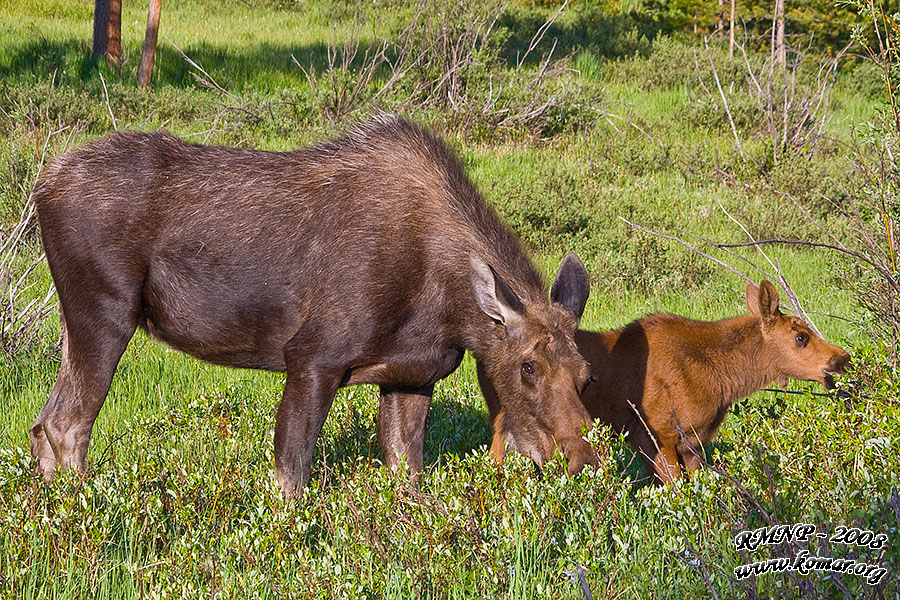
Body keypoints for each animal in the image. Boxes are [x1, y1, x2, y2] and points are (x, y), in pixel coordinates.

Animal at [31, 115, 600, 500]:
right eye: (527, 366)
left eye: (586, 376)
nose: (582, 462)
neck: (451, 313)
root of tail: (42, 185)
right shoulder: (312, 358)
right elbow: (291, 481)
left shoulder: (412, 375)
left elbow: (408, 483)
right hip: (104, 312)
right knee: (66, 426)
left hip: (77, 323)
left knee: (41, 425)